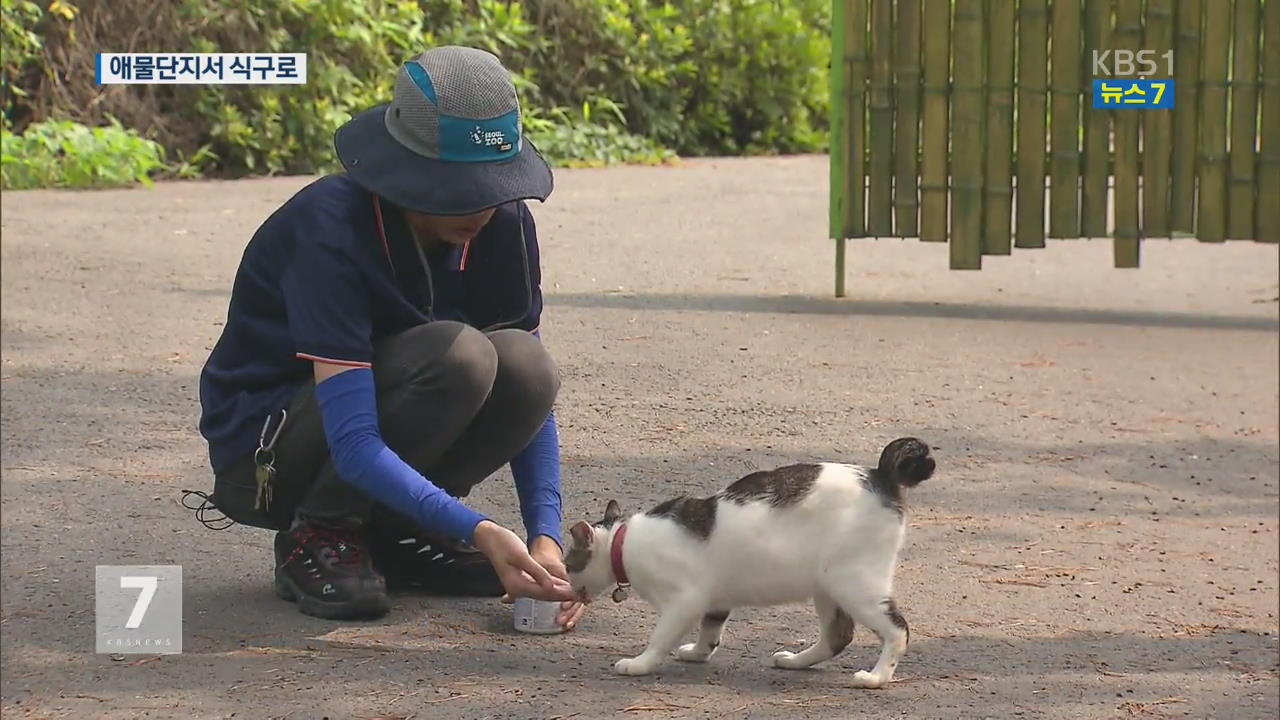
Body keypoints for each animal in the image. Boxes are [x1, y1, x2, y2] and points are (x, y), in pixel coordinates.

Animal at [565, 430, 936, 681]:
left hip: (853, 583)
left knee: (896, 630)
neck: (623, 541)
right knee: (837, 636)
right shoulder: (714, 600)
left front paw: (639, 663)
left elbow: (660, 638)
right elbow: (710, 632)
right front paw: (698, 654)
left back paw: (876, 677)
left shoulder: (684, 600)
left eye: (568, 563)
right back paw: (794, 661)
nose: (567, 583)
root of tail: (880, 476)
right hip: (826, 586)